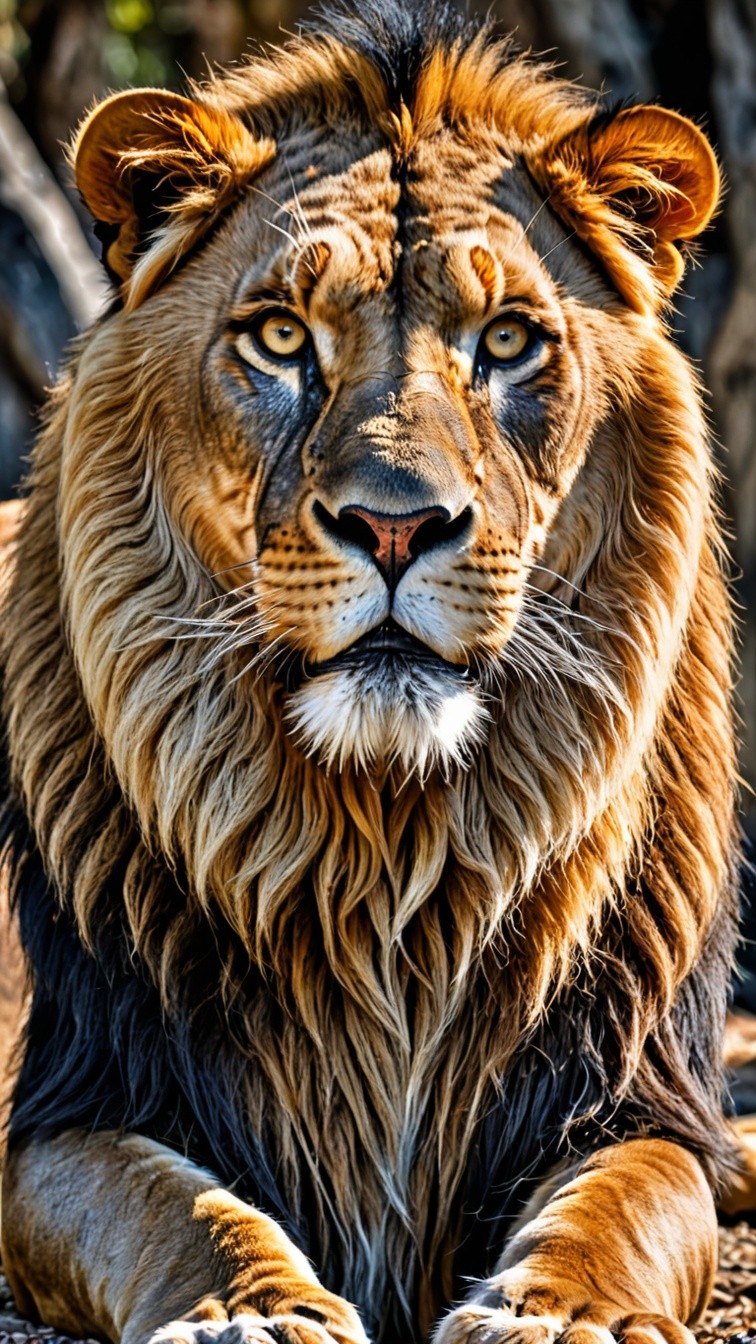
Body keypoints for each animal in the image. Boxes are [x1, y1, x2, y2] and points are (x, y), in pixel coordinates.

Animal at [0, 3, 742, 1344]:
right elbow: (174, 1205)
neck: (386, 848)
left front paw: (562, 1316)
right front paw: (247, 1312)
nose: (396, 526)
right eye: (281, 337)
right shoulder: (76, 1101)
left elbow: (623, 1208)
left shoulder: (635, 1097)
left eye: (508, 341)